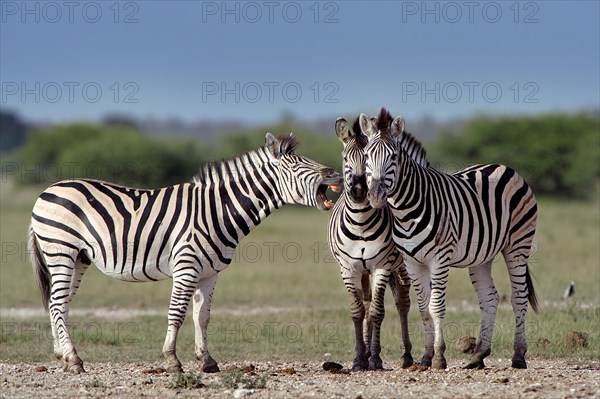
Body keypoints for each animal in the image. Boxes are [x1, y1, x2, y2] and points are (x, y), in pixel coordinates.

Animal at [27, 133, 342, 374]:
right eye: (298, 166)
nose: (336, 173)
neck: (217, 210)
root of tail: (48, 190)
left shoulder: (210, 273)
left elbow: (202, 316)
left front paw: (207, 361)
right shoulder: (186, 267)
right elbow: (177, 313)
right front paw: (172, 360)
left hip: (79, 257)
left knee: (58, 303)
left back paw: (62, 356)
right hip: (60, 251)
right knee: (57, 303)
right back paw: (74, 360)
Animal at [328, 118, 412, 372]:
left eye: (366, 157)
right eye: (345, 158)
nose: (358, 191)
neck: (361, 222)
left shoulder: (382, 266)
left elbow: (377, 312)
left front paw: (375, 358)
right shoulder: (348, 268)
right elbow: (358, 311)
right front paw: (359, 358)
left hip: (401, 266)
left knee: (402, 302)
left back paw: (407, 355)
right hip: (363, 271)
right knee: (366, 302)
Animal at [360, 108, 540, 370]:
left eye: (393, 157)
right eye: (366, 156)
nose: (374, 197)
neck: (406, 211)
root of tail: (502, 166)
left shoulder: (439, 259)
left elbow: (436, 307)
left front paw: (439, 357)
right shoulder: (413, 263)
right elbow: (423, 309)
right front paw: (425, 357)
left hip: (518, 244)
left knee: (519, 298)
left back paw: (518, 355)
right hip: (481, 256)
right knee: (490, 298)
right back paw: (478, 355)